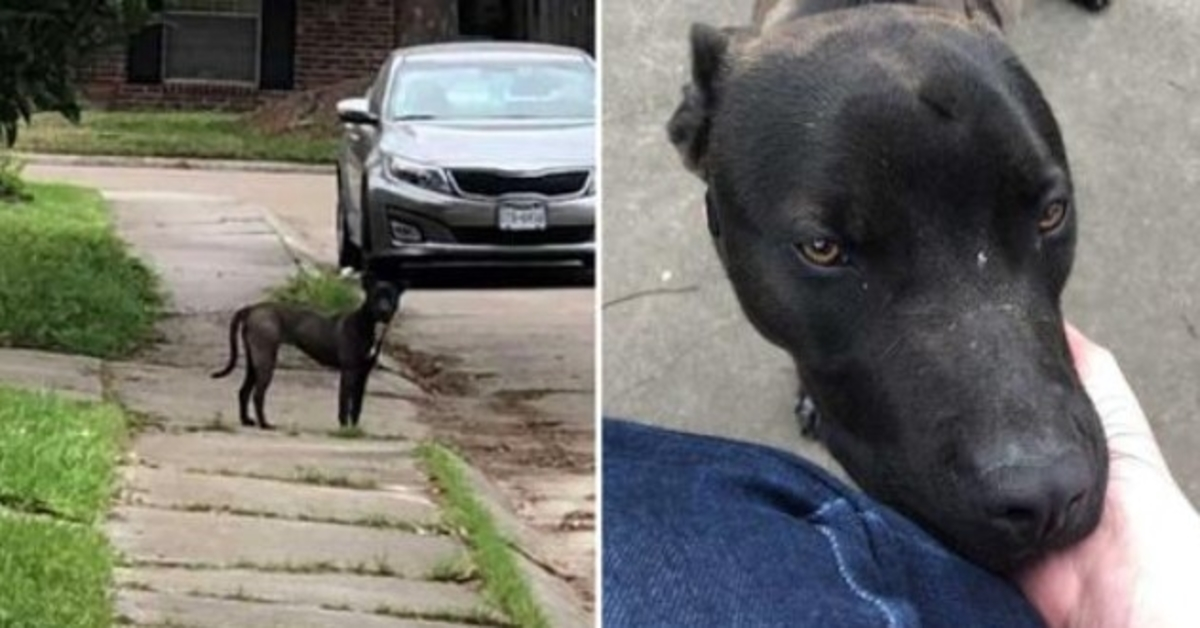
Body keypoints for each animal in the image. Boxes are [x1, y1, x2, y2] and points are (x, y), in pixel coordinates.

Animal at [212, 282, 403, 429]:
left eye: (391, 296)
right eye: (376, 296)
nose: (384, 309)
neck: (368, 324)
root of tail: (252, 308)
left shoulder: (363, 374)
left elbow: (357, 405)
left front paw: (354, 429)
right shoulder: (349, 371)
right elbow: (344, 402)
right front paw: (344, 429)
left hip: (254, 362)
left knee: (243, 391)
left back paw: (246, 421)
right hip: (265, 360)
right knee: (258, 395)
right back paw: (265, 424)